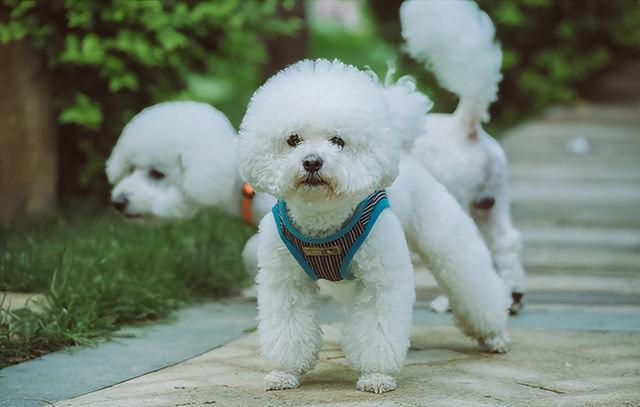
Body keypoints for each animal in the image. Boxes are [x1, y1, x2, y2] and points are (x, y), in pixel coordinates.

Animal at [239, 59, 510, 396]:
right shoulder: (286, 281)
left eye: (338, 141)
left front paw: (376, 376)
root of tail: (403, 150)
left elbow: (377, 326)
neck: (322, 220)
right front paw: (283, 373)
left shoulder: (380, 279)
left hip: (444, 235)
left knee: (473, 283)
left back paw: (494, 335)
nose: (312, 162)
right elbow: (286, 326)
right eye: (293, 140)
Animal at [402, 0, 528, 316]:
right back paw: (512, 297)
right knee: (507, 242)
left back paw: (447, 302)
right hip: (492, 200)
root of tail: (465, 126)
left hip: (454, 198)